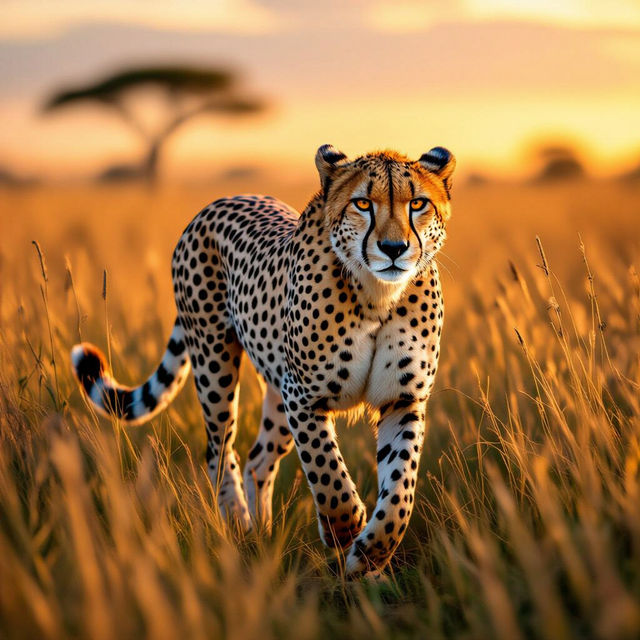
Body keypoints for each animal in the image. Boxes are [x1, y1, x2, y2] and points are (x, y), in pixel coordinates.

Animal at [71, 144, 455, 575]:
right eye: (362, 203)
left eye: (418, 204)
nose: (393, 249)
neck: (377, 294)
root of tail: (222, 200)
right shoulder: (304, 397)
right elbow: (327, 474)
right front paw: (344, 530)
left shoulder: (402, 400)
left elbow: (400, 490)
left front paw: (371, 553)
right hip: (215, 364)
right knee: (220, 450)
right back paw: (238, 524)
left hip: (275, 388)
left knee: (258, 459)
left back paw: (264, 533)